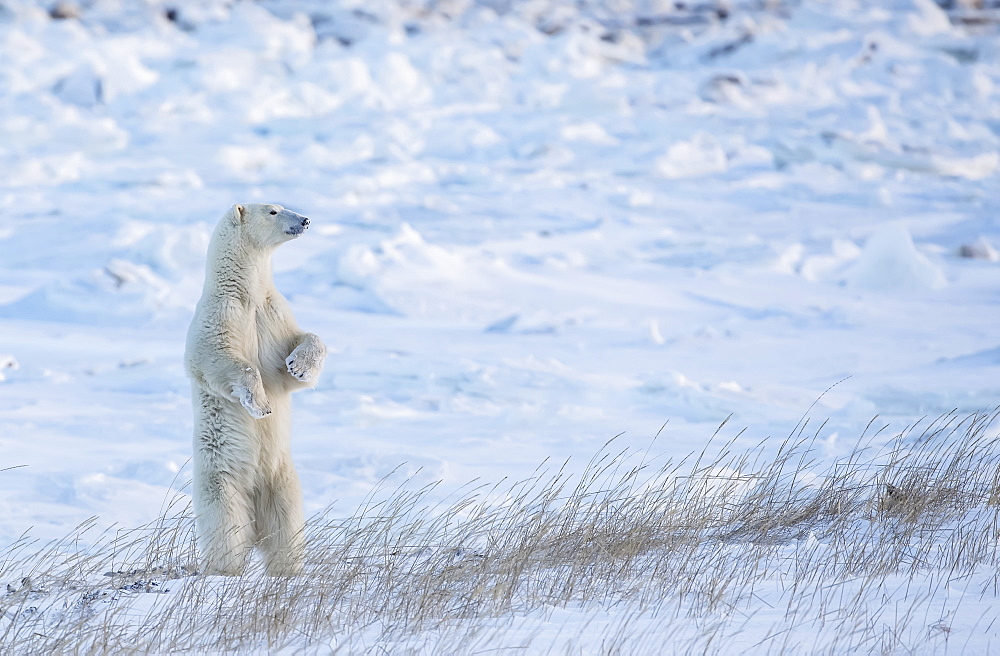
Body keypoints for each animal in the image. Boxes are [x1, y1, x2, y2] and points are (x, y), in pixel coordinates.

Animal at [186, 202, 326, 576]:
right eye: (273, 210)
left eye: (283, 205)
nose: (305, 219)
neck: (245, 293)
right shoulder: (220, 315)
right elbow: (217, 358)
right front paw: (261, 404)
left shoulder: (273, 312)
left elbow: (299, 348)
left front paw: (299, 365)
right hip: (221, 478)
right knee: (228, 530)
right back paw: (224, 570)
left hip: (283, 480)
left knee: (287, 530)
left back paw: (287, 569)